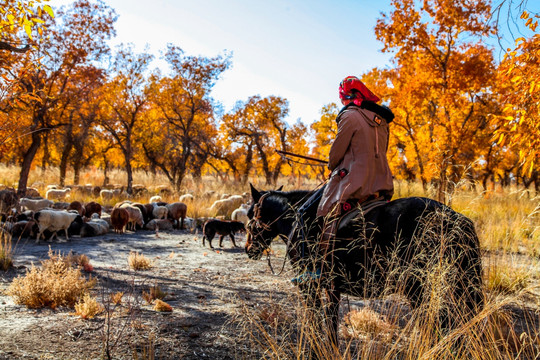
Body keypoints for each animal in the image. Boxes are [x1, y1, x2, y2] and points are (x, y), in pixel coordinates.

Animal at [245, 184, 486, 348]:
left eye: (250, 215)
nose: (249, 248)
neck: (297, 218)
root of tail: (455, 219)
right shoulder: (332, 287)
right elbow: (330, 321)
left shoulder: (309, 285)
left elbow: (315, 319)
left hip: (420, 287)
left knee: (441, 324)